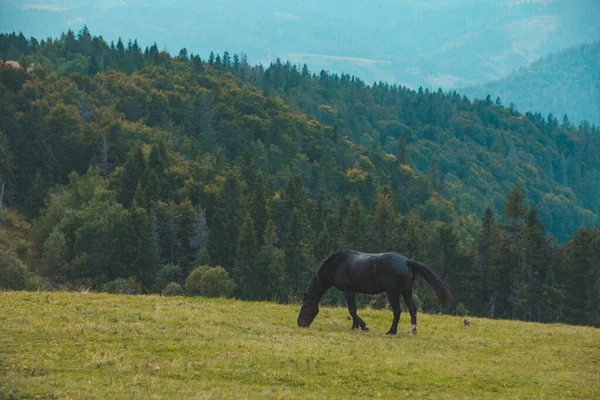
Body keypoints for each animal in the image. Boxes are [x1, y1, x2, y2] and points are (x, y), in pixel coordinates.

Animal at [296, 250, 450, 334]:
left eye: (306, 307)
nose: (300, 324)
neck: (338, 265)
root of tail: (407, 261)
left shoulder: (348, 291)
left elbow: (352, 310)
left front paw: (363, 326)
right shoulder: (352, 292)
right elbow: (352, 310)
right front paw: (355, 326)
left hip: (393, 293)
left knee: (397, 311)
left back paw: (392, 331)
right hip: (406, 291)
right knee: (412, 309)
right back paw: (413, 331)